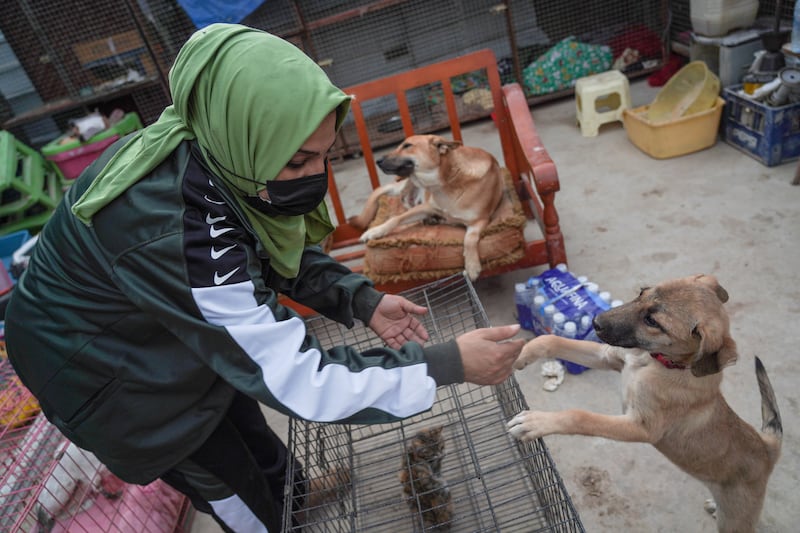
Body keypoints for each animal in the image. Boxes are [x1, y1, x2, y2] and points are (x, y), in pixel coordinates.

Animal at [348, 135, 504, 280]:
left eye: (407, 146)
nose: (378, 161)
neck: (447, 181)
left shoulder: (480, 220)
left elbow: (470, 238)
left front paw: (472, 265)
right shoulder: (426, 207)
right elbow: (396, 218)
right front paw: (375, 231)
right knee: (405, 202)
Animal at [506, 274, 780, 532]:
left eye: (653, 322)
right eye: (642, 292)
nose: (595, 322)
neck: (655, 362)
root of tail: (767, 449)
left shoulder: (643, 427)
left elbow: (581, 416)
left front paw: (535, 422)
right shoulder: (608, 357)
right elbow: (553, 341)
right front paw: (519, 353)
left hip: (736, 519)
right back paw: (714, 505)